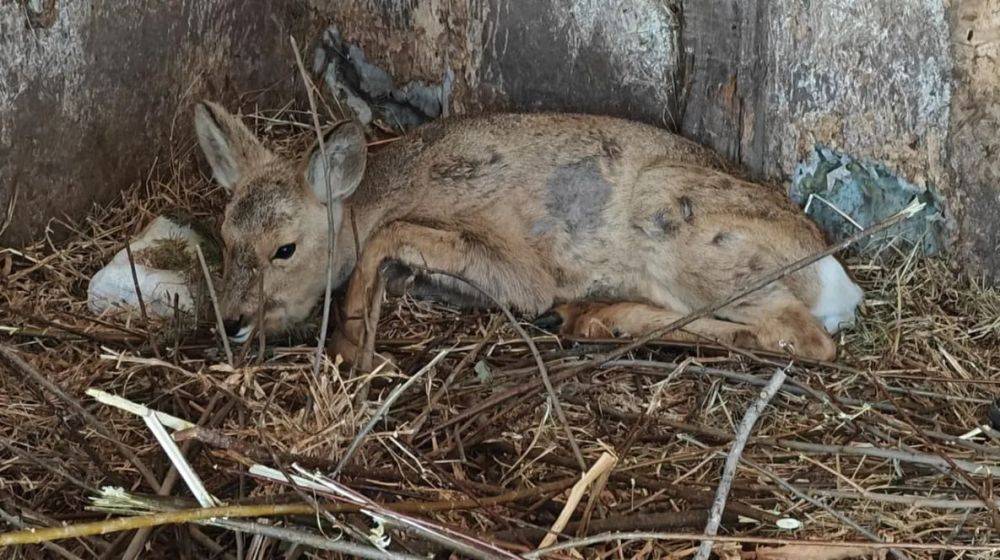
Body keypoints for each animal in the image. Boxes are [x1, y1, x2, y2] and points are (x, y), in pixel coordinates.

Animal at [193, 100, 860, 364]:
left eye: (285, 248)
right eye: (223, 237)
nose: (232, 321)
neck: (375, 197)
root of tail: (836, 282)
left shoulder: (519, 266)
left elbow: (391, 240)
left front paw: (351, 345)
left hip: (685, 231)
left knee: (800, 336)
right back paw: (593, 319)